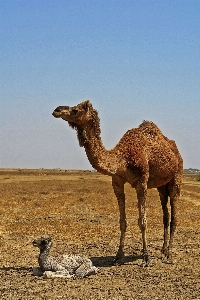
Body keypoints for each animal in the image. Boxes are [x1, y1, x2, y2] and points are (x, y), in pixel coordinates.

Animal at [52, 100, 183, 264]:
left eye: (75, 110)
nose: (56, 110)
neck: (122, 159)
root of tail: (176, 152)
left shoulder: (142, 182)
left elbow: (142, 222)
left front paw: (146, 257)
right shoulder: (117, 182)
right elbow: (122, 222)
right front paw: (118, 256)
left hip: (176, 177)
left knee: (174, 216)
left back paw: (169, 253)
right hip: (162, 186)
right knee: (165, 215)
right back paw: (163, 250)